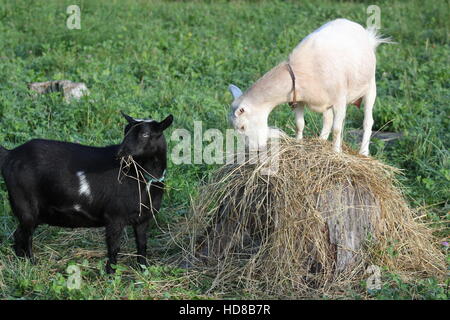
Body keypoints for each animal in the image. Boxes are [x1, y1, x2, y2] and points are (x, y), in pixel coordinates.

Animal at [0, 112, 173, 272]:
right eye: (125, 130)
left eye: (145, 134)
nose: (119, 153)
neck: (140, 177)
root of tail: (10, 154)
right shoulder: (114, 217)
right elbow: (114, 248)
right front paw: (111, 274)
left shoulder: (143, 218)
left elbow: (142, 245)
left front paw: (143, 270)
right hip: (25, 204)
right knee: (26, 235)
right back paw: (31, 263)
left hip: (37, 212)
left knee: (19, 234)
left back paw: (21, 262)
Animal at [229, 18, 390, 156]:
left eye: (242, 127)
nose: (250, 150)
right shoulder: (298, 99)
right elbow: (299, 124)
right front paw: (299, 143)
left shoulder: (339, 99)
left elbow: (337, 129)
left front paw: (336, 152)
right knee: (327, 120)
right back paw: (321, 140)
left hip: (370, 86)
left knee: (367, 121)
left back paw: (364, 152)